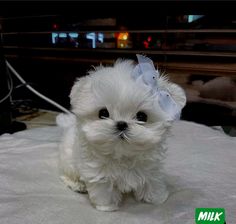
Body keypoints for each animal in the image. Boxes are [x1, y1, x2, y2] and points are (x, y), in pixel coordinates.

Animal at [56, 54, 186, 212]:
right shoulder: (99, 174)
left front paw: (157, 199)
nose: (122, 124)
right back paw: (78, 185)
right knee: (67, 174)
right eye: (103, 113)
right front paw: (107, 206)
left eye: (142, 116)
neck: (123, 156)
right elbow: (104, 191)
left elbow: (153, 183)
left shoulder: (152, 170)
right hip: (69, 161)